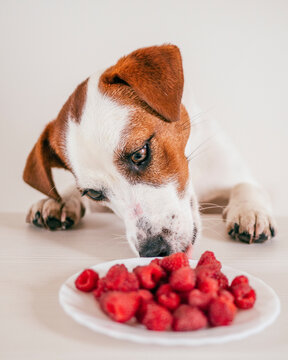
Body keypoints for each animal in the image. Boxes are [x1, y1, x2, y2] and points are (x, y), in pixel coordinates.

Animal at [23, 45, 276, 258]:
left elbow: (246, 185)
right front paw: (59, 200)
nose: (154, 250)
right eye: (94, 193)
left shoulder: (230, 173)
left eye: (139, 154)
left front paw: (250, 211)